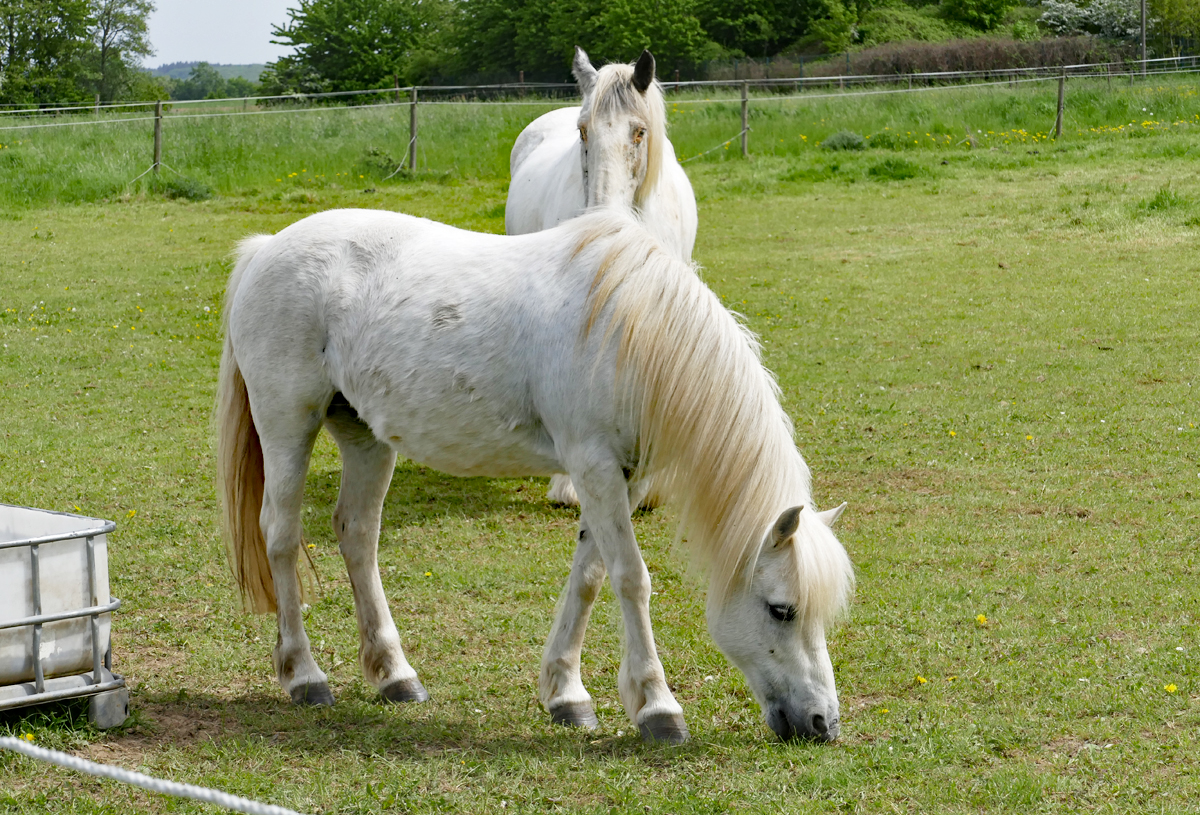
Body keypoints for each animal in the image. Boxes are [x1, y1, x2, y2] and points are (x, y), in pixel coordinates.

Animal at [216, 207, 854, 744]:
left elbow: (590, 577)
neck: (629, 330)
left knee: (357, 535)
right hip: (287, 425)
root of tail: (266, 248)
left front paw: (567, 694)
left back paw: (395, 675)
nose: (822, 723)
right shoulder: (594, 466)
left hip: (364, 436)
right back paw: (304, 676)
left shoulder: (614, 475)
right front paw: (657, 706)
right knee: (280, 536)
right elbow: (631, 579)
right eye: (782, 609)